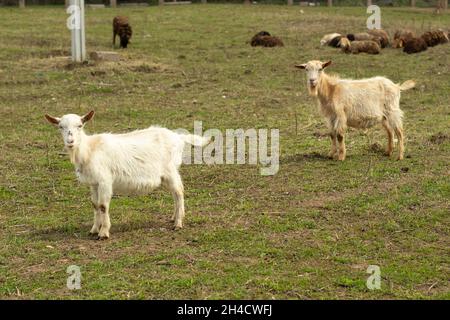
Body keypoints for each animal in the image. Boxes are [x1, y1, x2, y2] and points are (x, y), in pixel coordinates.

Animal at [44, 111, 210, 239]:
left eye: (80, 125)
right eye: (60, 127)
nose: (70, 141)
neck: (89, 150)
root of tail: (178, 137)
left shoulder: (105, 180)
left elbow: (103, 205)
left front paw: (103, 232)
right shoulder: (94, 183)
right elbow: (95, 205)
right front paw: (94, 230)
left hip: (170, 170)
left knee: (179, 192)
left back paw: (178, 223)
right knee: (175, 194)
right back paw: (174, 218)